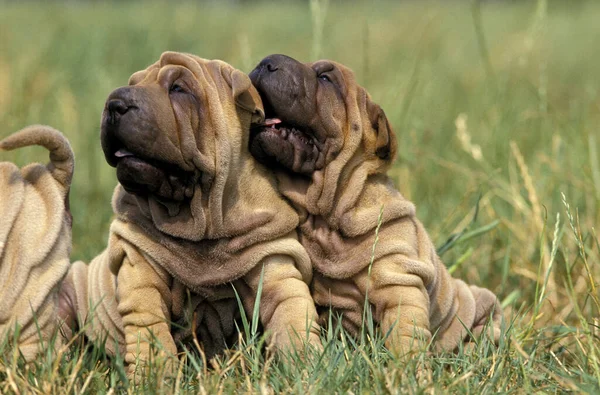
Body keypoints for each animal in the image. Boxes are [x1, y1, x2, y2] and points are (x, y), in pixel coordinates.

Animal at [59, 52, 324, 378]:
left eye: (178, 89)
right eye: (134, 83)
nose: (115, 104)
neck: (202, 216)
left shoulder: (273, 258)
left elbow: (293, 313)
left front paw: (307, 367)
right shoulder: (139, 263)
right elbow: (149, 326)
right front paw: (153, 376)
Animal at [246, 55, 504, 356]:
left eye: (325, 78)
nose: (266, 61)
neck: (325, 214)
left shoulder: (399, 281)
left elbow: (405, 333)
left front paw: (407, 366)